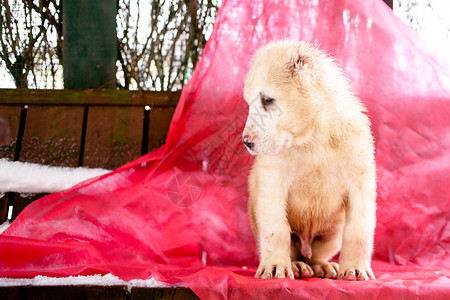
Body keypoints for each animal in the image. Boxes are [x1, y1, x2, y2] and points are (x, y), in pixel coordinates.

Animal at [243, 41, 376, 280]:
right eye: (249, 103)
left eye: (267, 100)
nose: (246, 142)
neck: (312, 140)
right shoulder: (271, 183)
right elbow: (276, 230)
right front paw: (275, 266)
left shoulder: (360, 183)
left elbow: (359, 232)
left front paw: (355, 268)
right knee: (294, 250)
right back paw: (297, 265)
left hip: (332, 234)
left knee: (316, 255)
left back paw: (322, 266)